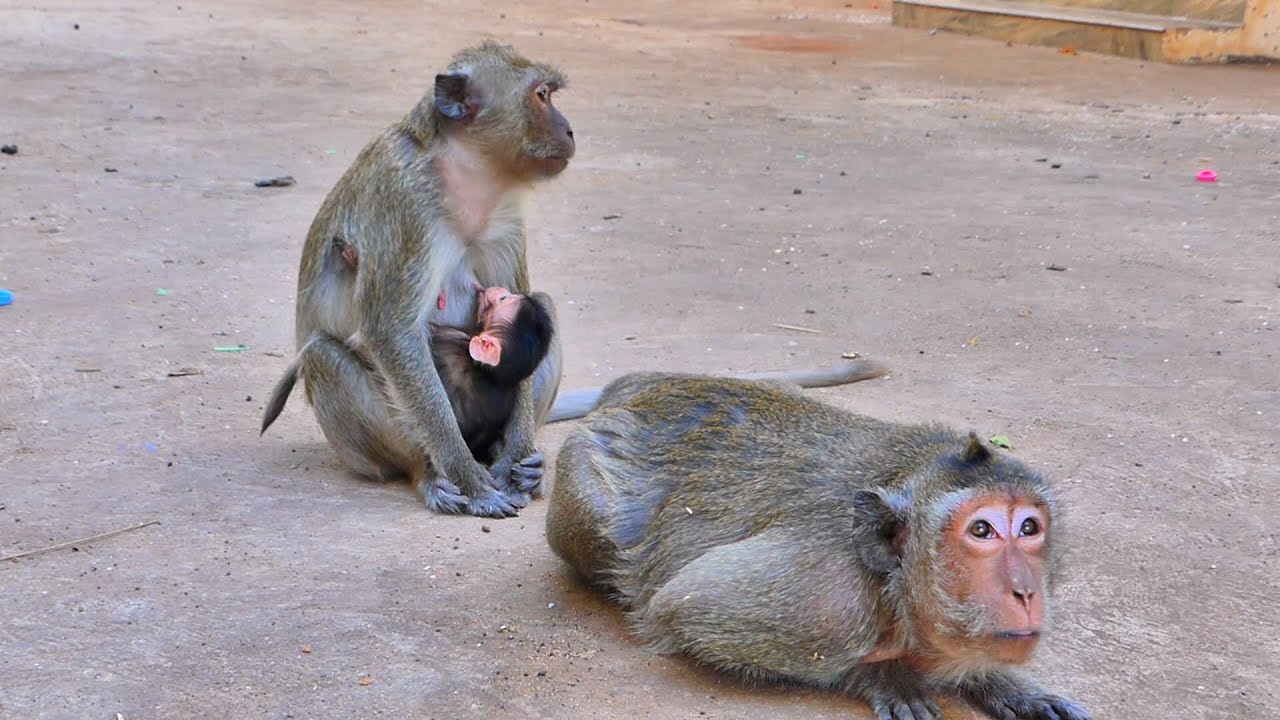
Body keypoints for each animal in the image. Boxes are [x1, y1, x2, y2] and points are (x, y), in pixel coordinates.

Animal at [546, 373, 1091, 720]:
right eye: (981, 531)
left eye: (1029, 528)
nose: (1025, 591)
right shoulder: (825, 605)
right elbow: (684, 608)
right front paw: (886, 676)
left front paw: (1000, 684)